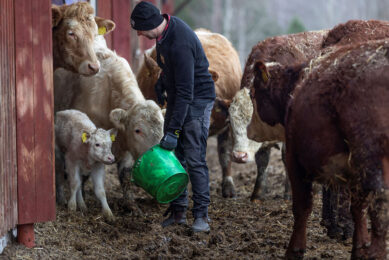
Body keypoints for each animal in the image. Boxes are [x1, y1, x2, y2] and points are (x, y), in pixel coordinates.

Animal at [250, 39, 386, 260]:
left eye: (253, 94)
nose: (249, 130)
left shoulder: (294, 159)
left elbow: (302, 206)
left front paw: (295, 250)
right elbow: (358, 208)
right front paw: (360, 246)